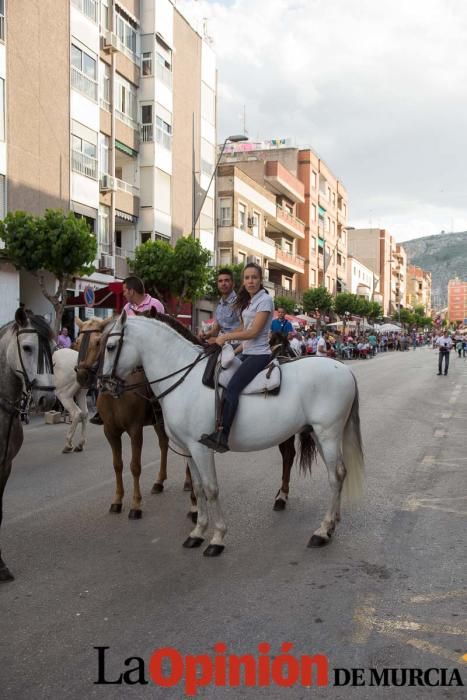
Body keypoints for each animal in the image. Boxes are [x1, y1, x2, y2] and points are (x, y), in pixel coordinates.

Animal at [101, 312, 366, 556]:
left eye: (110, 346)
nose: (103, 385)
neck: (183, 379)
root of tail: (344, 370)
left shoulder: (200, 447)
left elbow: (211, 489)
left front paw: (217, 537)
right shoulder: (188, 449)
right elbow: (198, 488)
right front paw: (197, 533)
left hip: (328, 434)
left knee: (335, 476)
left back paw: (322, 531)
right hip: (321, 435)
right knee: (338, 474)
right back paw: (331, 524)